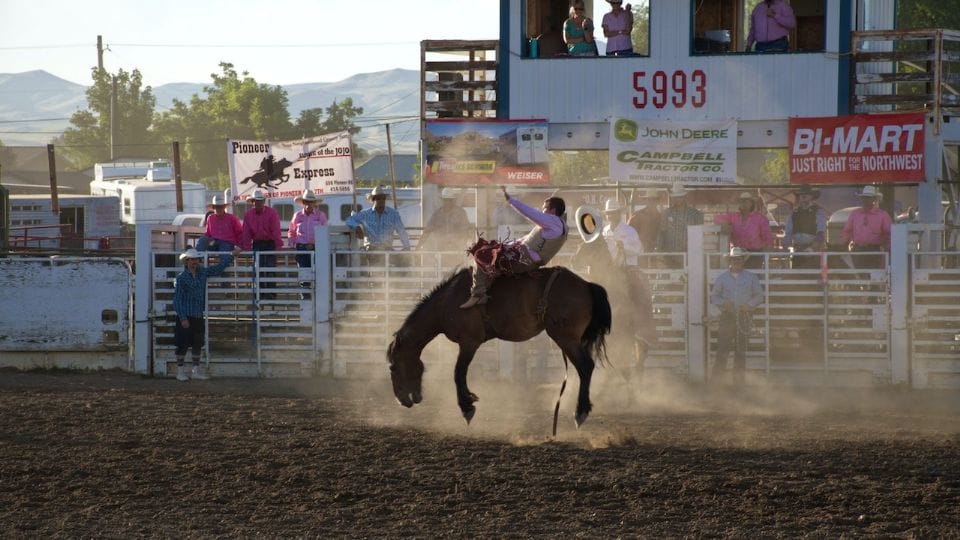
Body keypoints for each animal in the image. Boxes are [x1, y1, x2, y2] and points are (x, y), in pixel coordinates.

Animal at [387, 267, 611, 429]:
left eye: (393, 367)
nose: (402, 401)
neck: (447, 303)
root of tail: (586, 285)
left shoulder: (469, 342)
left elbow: (458, 372)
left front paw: (466, 408)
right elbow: (460, 373)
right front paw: (471, 399)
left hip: (565, 337)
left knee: (585, 366)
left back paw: (580, 412)